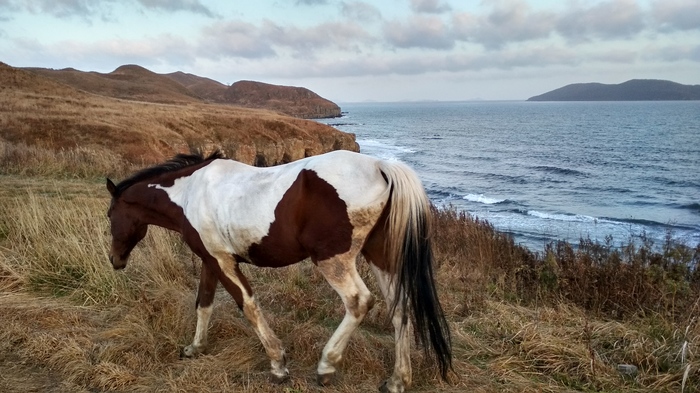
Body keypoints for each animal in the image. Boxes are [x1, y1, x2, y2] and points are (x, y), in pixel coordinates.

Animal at [106, 149, 452, 390]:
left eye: (110, 215)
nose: (115, 260)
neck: (190, 192)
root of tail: (380, 166)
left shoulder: (223, 261)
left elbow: (248, 306)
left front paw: (278, 365)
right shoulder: (210, 260)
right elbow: (203, 304)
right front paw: (195, 347)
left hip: (333, 261)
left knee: (359, 302)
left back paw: (326, 366)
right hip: (379, 258)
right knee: (400, 309)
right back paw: (397, 381)